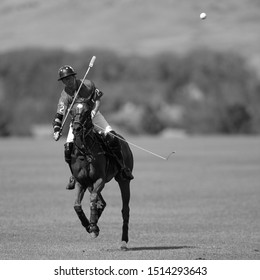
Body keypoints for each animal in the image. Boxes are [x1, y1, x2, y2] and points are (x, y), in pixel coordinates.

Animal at [69, 101, 134, 249]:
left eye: (87, 112)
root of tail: (123, 140)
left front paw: (93, 226)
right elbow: (76, 205)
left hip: (123, 180)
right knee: (102, 202)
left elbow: (93, 199)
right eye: (71, 111)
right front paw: (90, 226)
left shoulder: (100, 179)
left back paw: (123, 241)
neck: (84, 152)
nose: (76, 128)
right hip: (89, 184)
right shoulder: (81, 182)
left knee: (125, 209)